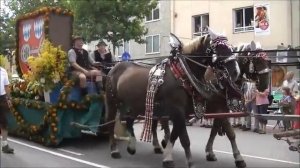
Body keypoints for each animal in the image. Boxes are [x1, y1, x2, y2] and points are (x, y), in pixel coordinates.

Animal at [104, 28, 240, 167]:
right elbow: (184, 139)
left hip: (134, 104)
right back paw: (114, 150)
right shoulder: (178, 110)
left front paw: (168, 156)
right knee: (110, 122)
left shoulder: (183, 113)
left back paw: (132, 146)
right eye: (218, 48)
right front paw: (188, 161)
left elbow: (175, 134)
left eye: (230, 47)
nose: (236, 72)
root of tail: (114, 67)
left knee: (129, 120)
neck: (182, 73)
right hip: (112, 102)